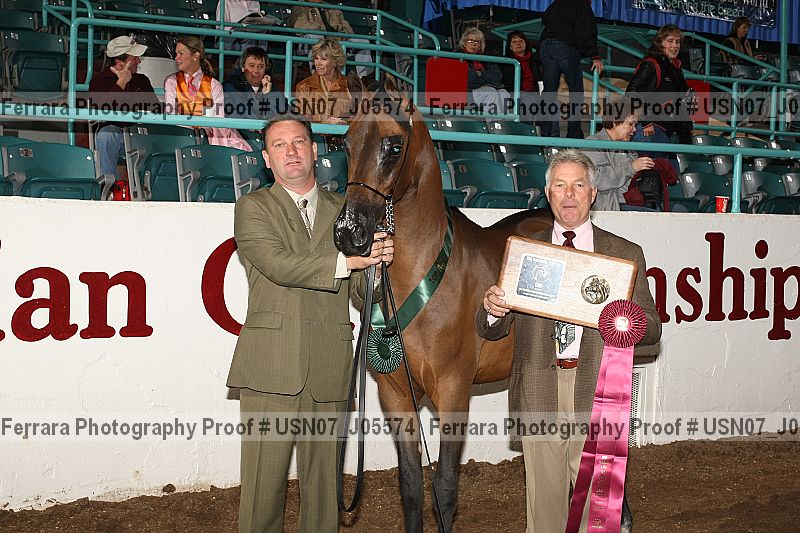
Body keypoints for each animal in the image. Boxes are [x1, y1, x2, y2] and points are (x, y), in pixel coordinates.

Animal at [332, 72, 553, 532]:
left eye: (393, 146)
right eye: (346, 142)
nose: (349, 232)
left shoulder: (454, 393)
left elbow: (446, 488)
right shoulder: (396, 396)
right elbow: (412, 487)